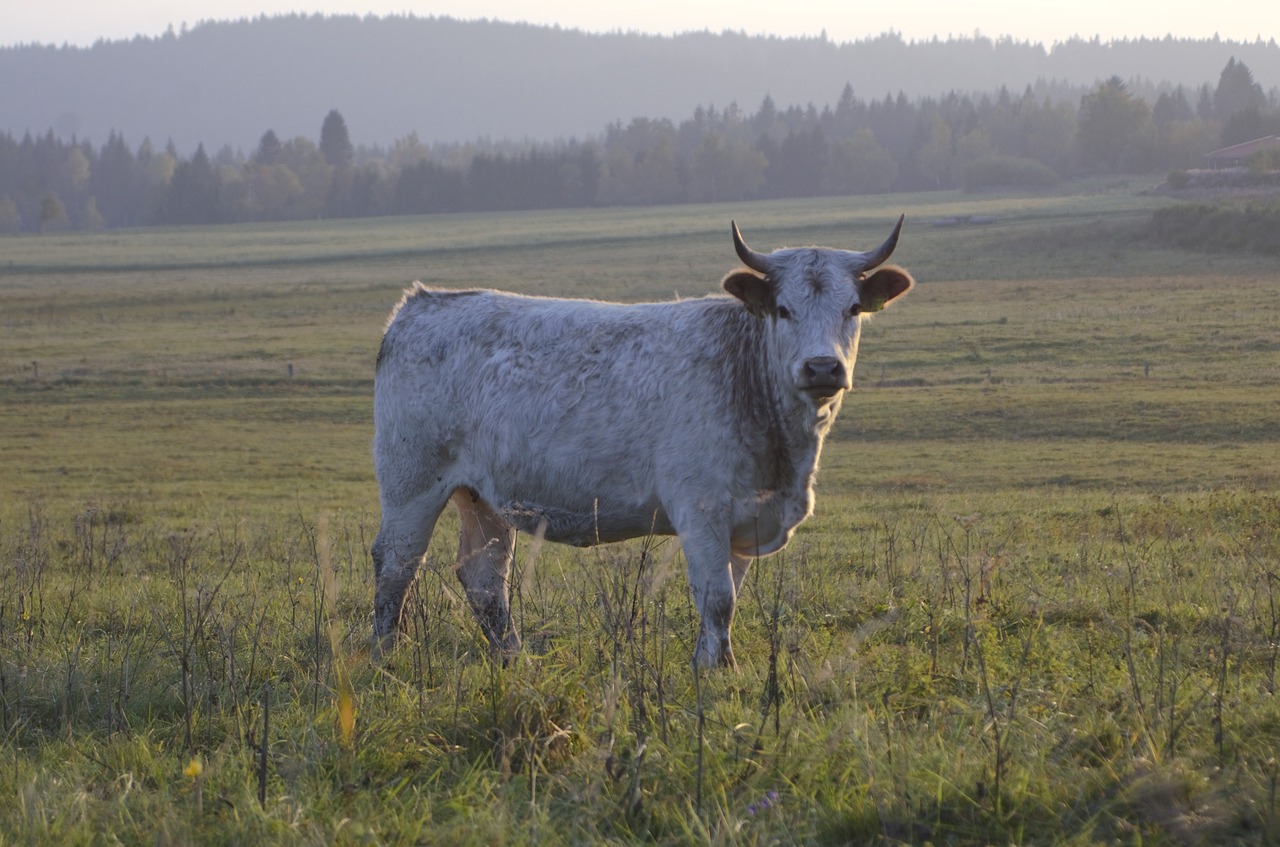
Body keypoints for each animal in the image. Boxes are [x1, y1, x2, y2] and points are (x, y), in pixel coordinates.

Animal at [368, 218, 911, 670]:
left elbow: (727, 597)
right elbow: (717, 598)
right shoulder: (701, 509)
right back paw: (383, 655)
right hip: (411, 482)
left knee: (485, 577)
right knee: (396, 563)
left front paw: (707, 664)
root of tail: (424, 302)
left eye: (853, 309)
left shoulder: (745, 518)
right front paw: (723, 670)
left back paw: (513, 658)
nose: (822, 367)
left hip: (483, 496)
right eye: (783, 309)